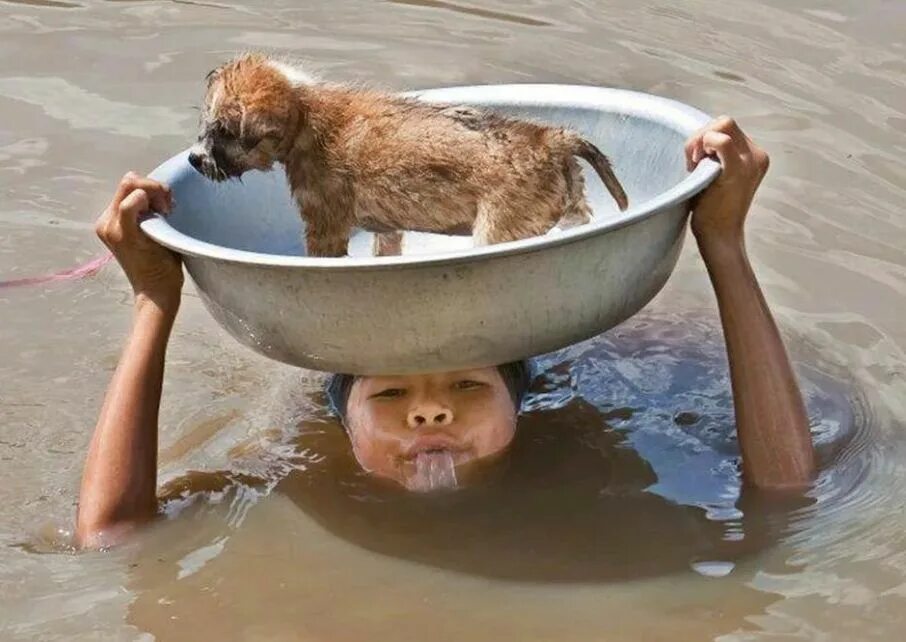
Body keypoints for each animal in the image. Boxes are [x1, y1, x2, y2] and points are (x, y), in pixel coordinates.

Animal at [187, 52, 624, 256]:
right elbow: (385, 247)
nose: (194, 159)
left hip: (497, 231)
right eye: (206, 125)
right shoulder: (387, 230)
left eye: (223, 132)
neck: (303, 113)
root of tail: (550, 138)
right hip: (571, 204)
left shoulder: (324, 226)